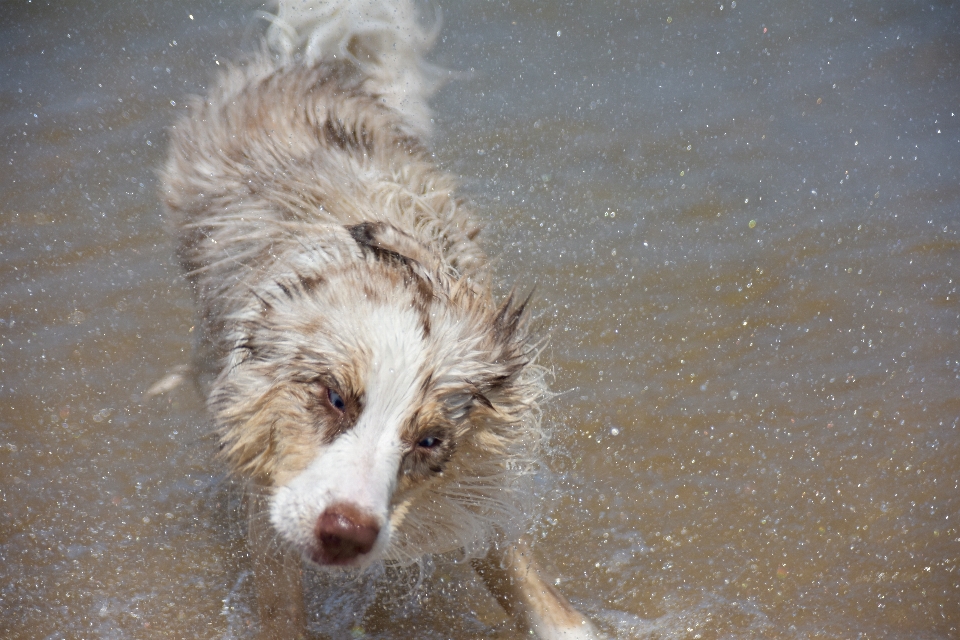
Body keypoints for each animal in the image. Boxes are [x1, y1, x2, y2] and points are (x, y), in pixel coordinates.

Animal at [162, 2, 604, 636]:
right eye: (335, 398)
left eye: (429, 440)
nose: (346, 533)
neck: (398, 265)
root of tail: (312, 67)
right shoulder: (269, 481)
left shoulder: (480, 486)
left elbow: (529, 586)